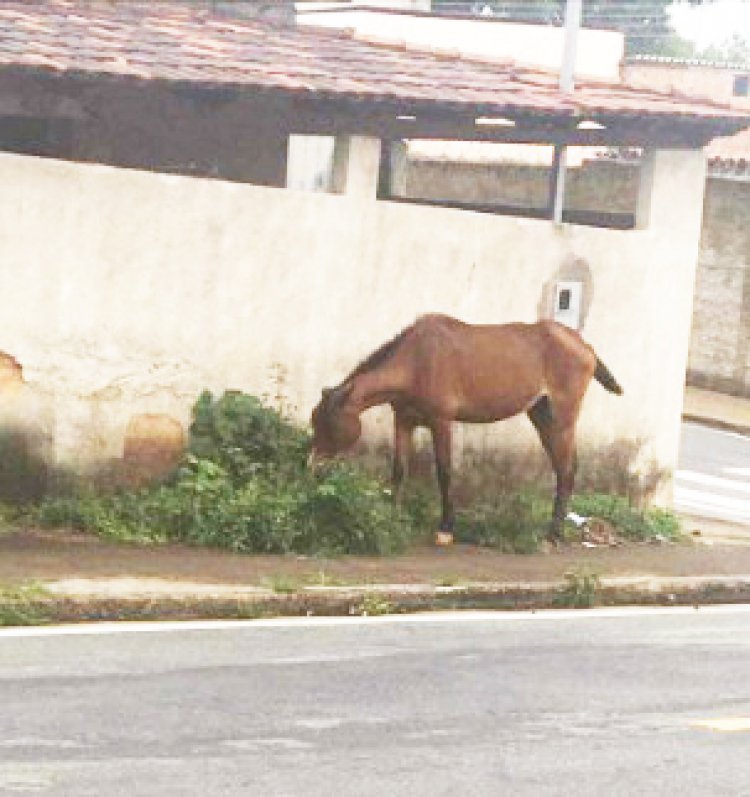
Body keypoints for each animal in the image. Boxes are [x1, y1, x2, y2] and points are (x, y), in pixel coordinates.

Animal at [310, 314, 624, 544]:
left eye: (328, 423)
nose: (312, 466)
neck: (417, 359)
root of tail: (585, 346)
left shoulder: (441, 422)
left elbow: (444, 472)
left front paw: (446, 527)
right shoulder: (404, 421)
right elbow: (399, 471)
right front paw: (390, 517)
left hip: (562, 419)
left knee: (567, 469)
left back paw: (554, 534)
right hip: (543, 417)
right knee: (562, 469)